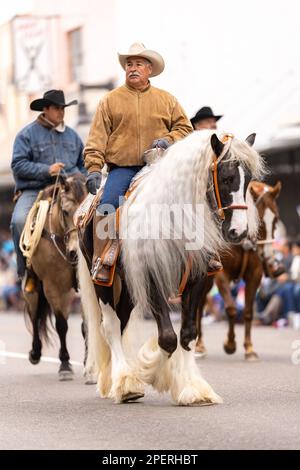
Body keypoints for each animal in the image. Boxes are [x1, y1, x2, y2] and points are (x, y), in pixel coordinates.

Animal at [20, 174, 86, 380]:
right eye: (65, 211)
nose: (76, 251)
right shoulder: (53, 286)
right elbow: (61, 325)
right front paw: (65, 364)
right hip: (34, 288)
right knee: (34, 316)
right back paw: (35, 353)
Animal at [78, 130, 264, 406]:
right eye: (227, 177)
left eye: (249, 180)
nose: (239, 231)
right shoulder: (152, 276)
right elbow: (167, 338)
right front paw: (150, 369)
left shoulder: (196, 279)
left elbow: (187, 334)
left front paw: (192, 389)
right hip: (103, 283)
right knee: (110, 326)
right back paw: (125, 381)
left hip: (128, 288)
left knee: (121, 324)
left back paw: (114, 382)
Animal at [196, 180, 282, 360]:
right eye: (260, 220)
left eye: (276, 219)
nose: (269, 258)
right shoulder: (222, 275)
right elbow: (231, 309)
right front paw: (230, 344)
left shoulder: (255, 274)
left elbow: (248, 312)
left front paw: (249, 348)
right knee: (199, 305)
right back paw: (199, 345)